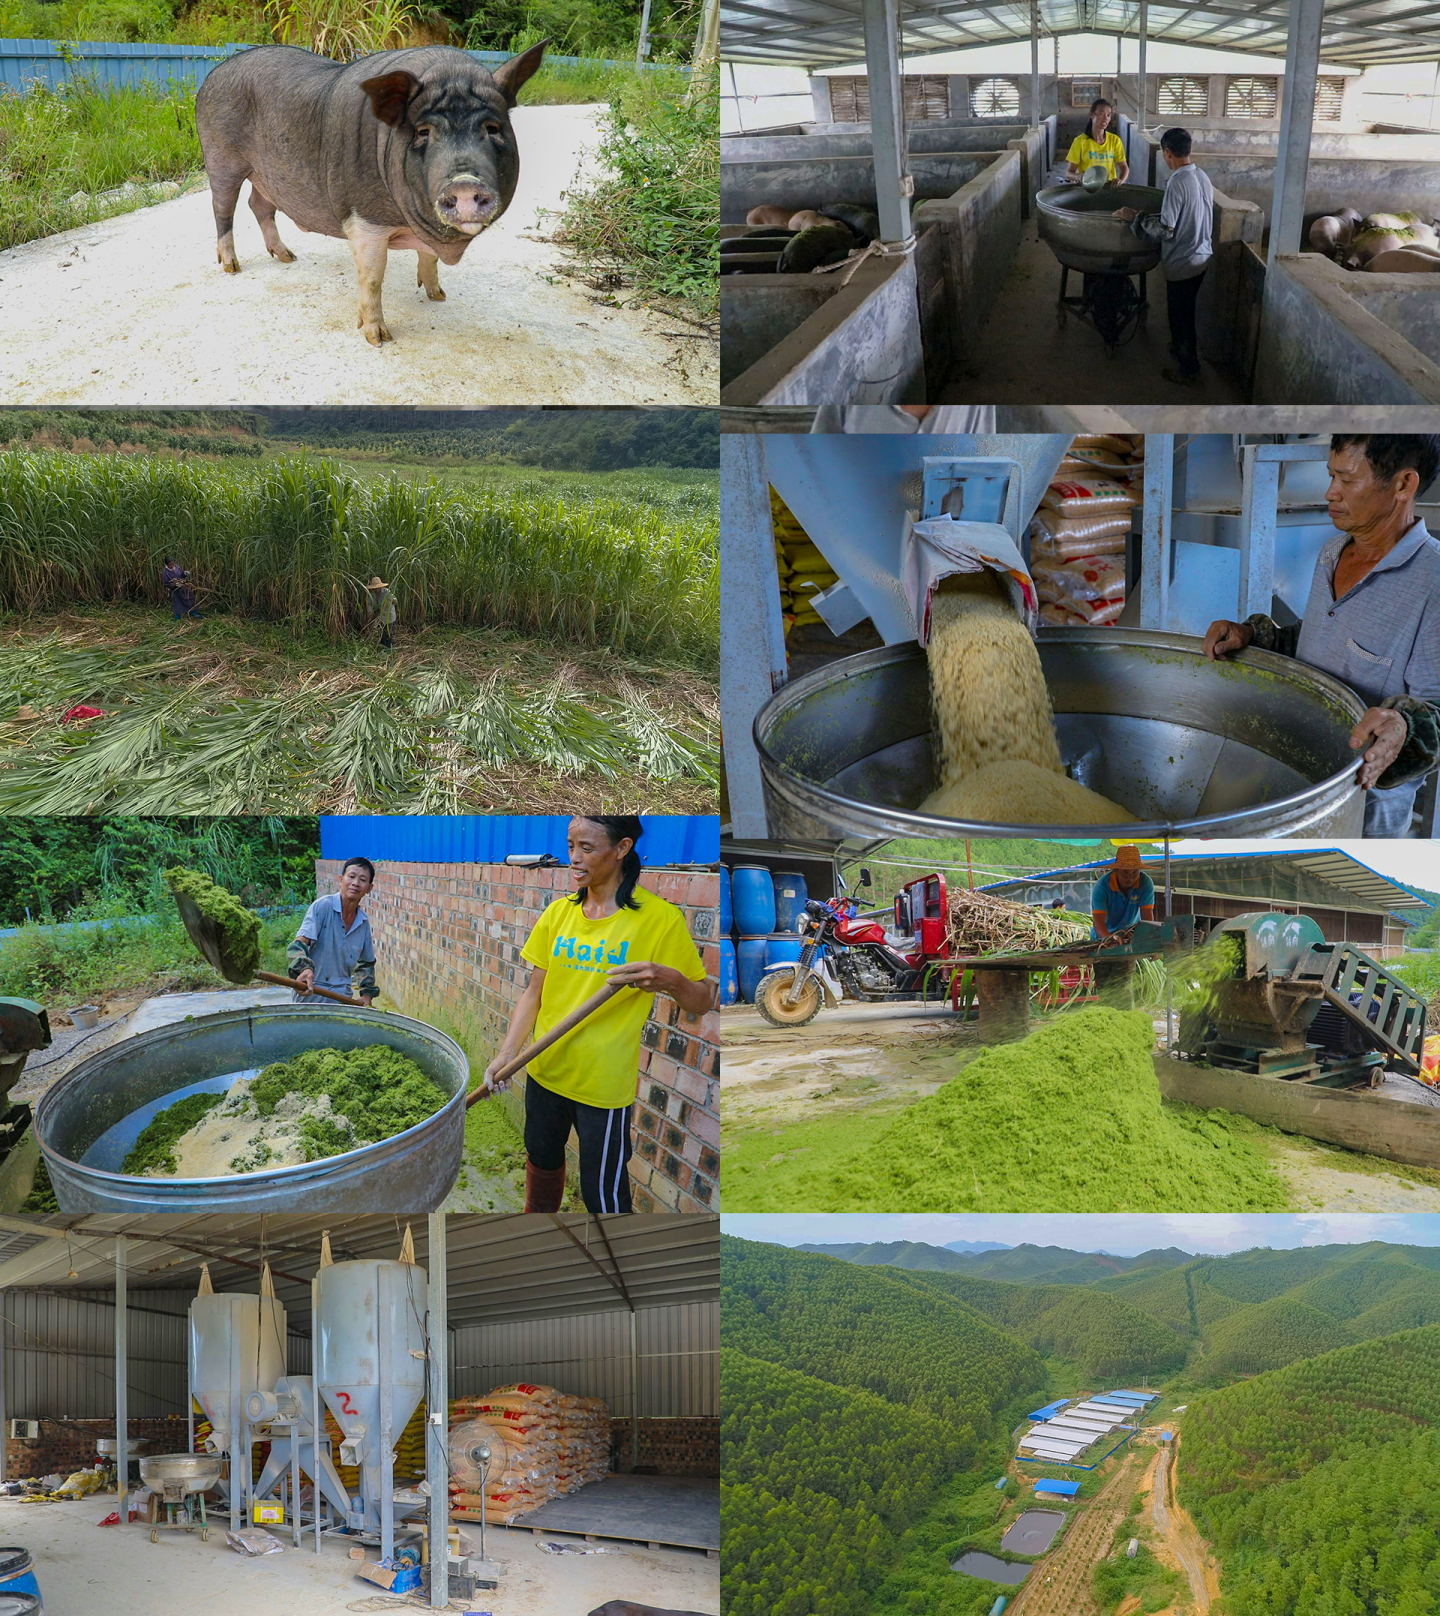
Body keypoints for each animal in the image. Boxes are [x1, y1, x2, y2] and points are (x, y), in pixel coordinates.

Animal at [193, 41, 543, 344]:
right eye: (422, 131)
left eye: (492, 128)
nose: (466, 182)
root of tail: (214, 75)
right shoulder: (363, 217)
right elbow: (372, 276)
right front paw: (378, 338)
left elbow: (428, 257)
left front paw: (438, 297)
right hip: (220, 158)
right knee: (222, 208)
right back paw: (232, 267)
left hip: (266, 174)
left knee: (259, 205)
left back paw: (287, 257)